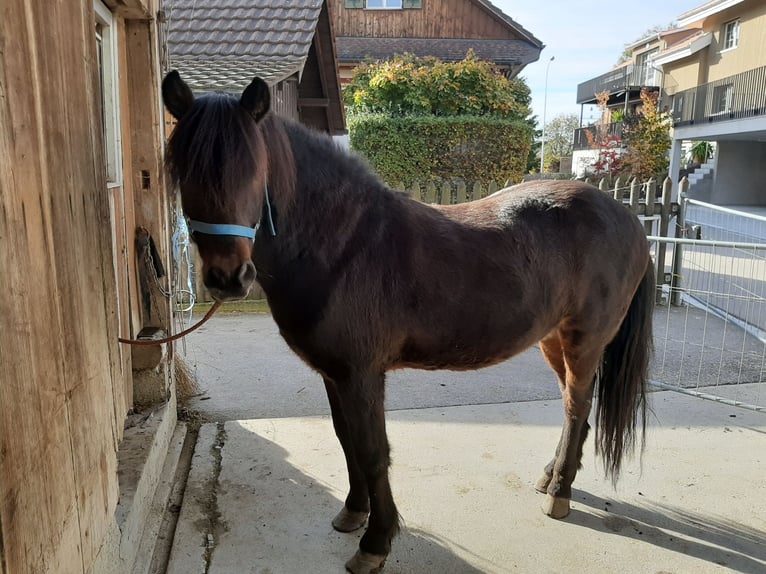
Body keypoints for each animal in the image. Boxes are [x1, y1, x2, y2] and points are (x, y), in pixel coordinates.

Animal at [162, 71, 654, 574]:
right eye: (184, 171)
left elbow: (373, 451)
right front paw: (353, 511)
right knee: (575, 407)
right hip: (553, 340)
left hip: (585, 340)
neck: (344, 245)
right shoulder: (334, 374)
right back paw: (551, 477)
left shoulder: (362, 374)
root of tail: (630, 220)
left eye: (254, 170)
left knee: (577, 407)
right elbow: (347, 441)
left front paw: (375, 542)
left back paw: (559, 494)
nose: (227, 278)